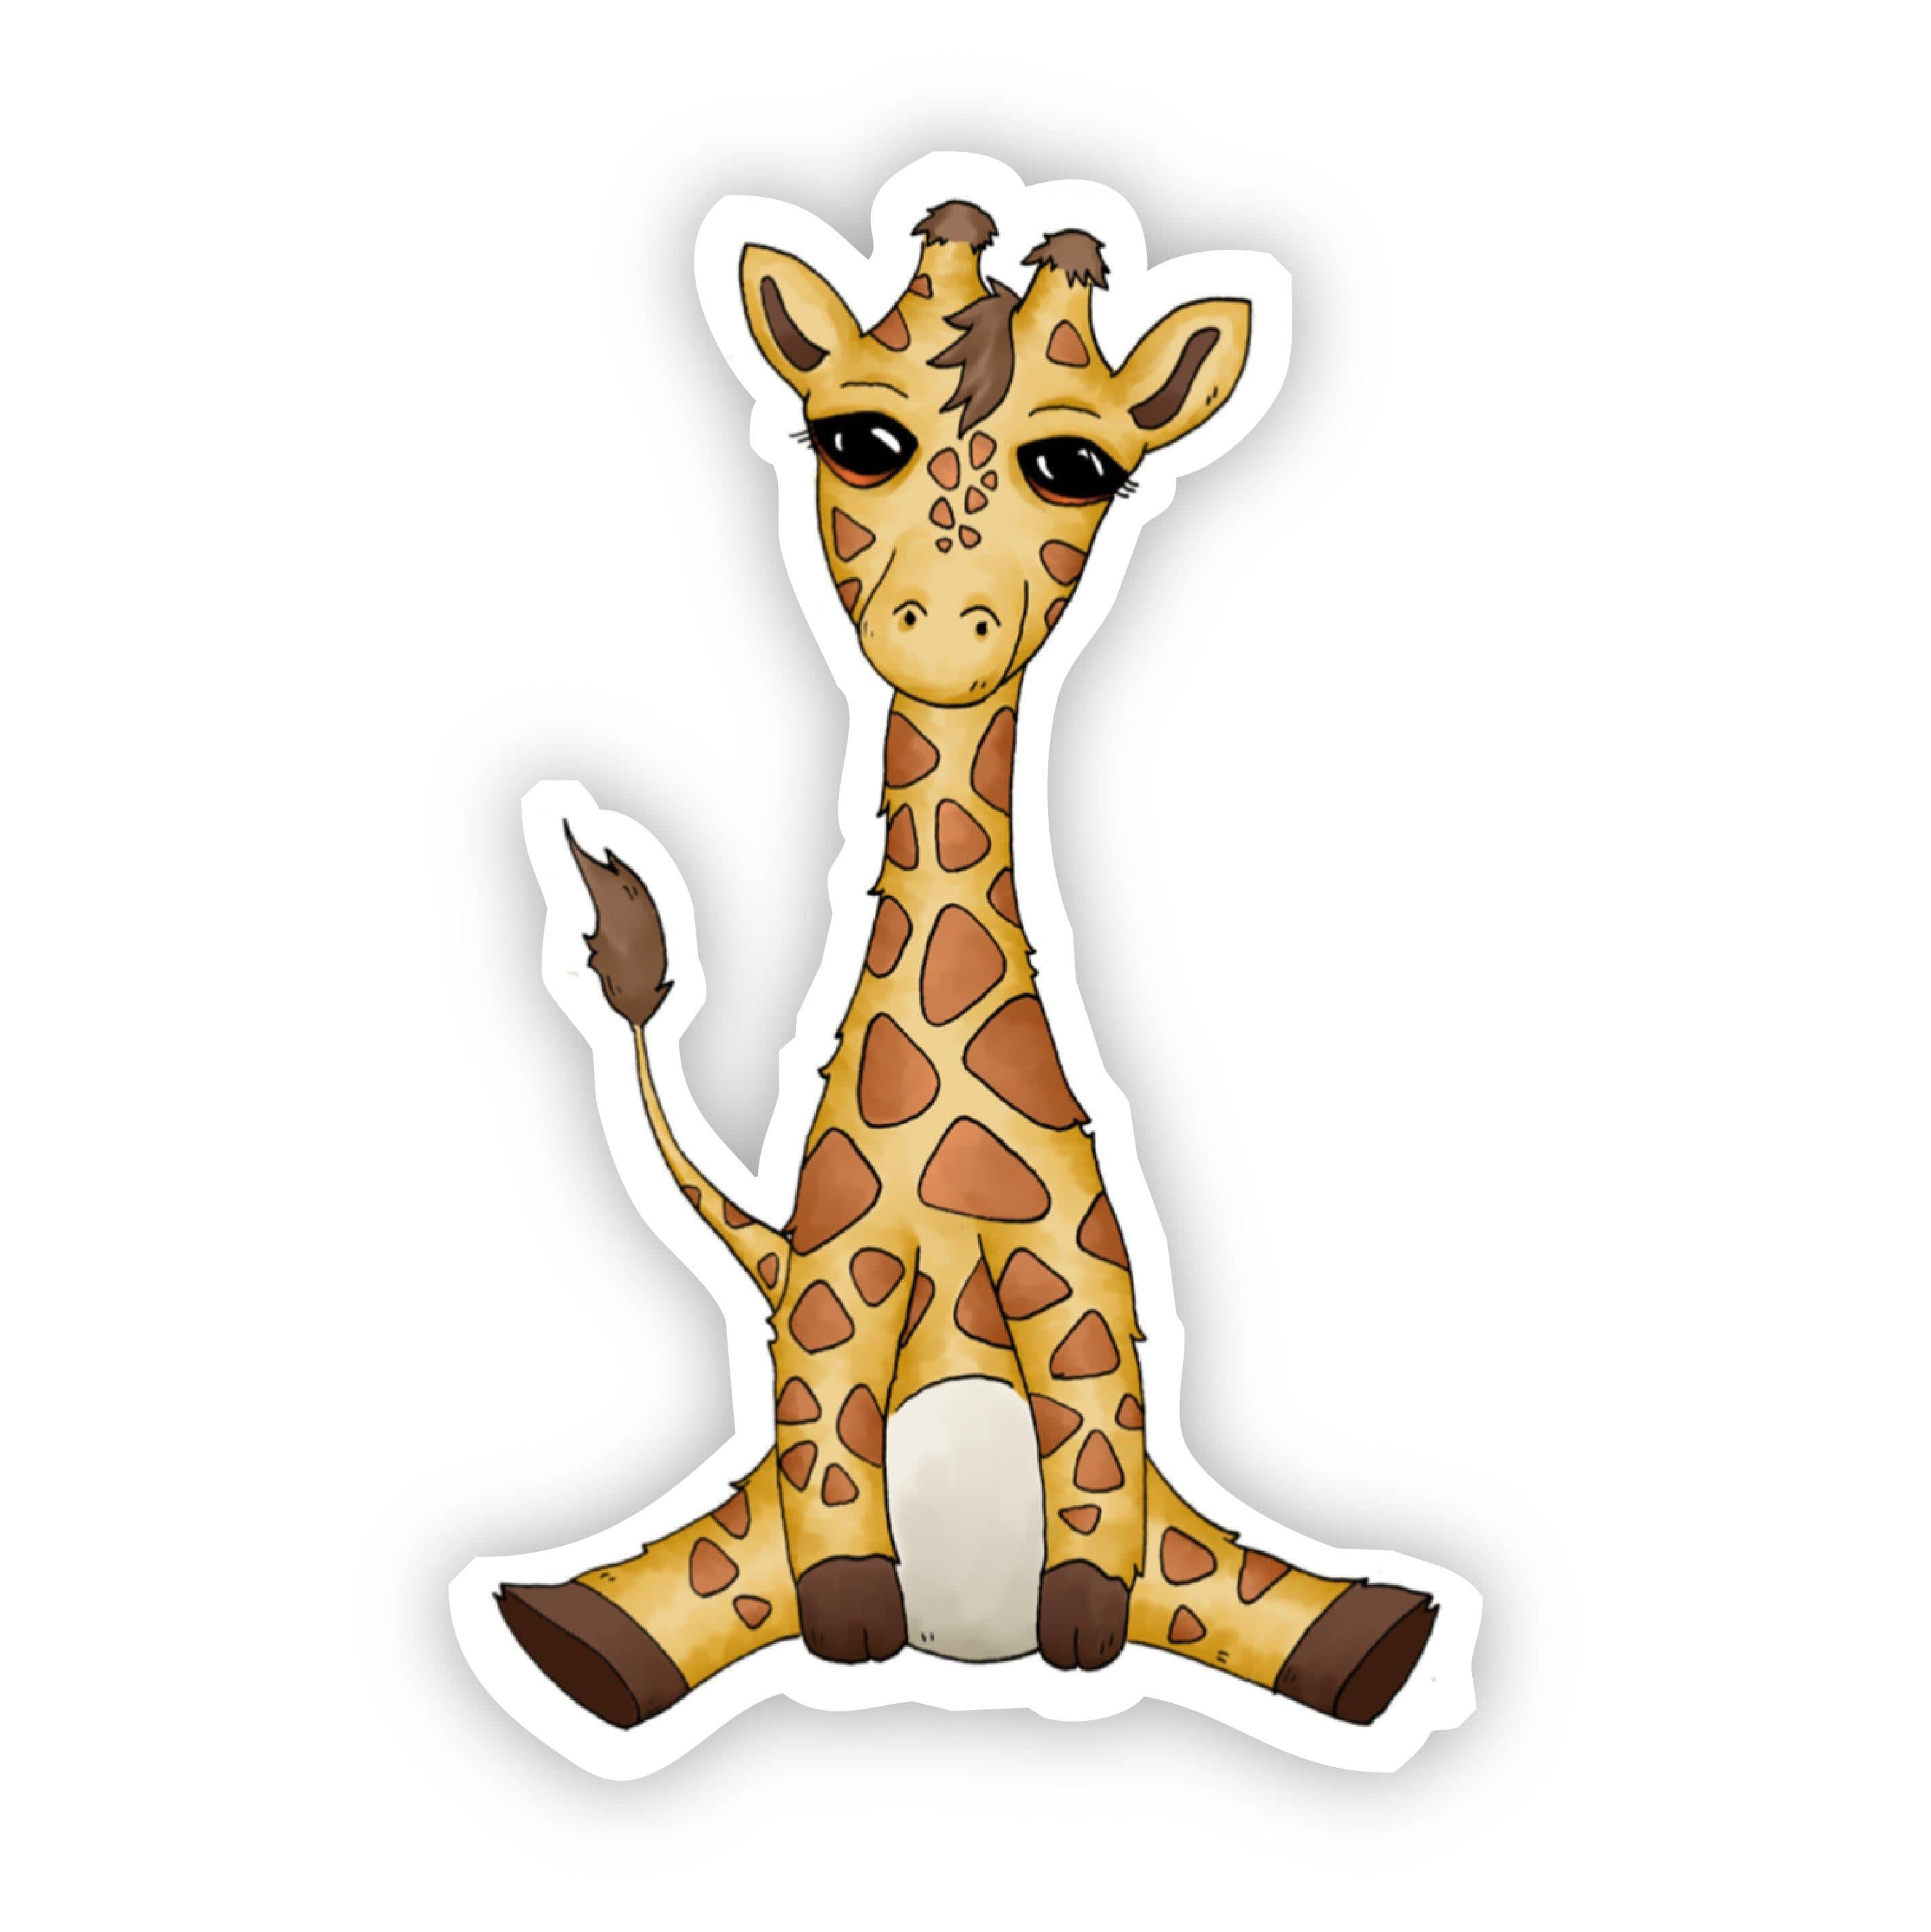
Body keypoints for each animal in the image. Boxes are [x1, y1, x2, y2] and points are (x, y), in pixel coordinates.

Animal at [494, 197, 1443, 1733]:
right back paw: (580, 1639)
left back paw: (1366, 1641)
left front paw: (1082, 1623)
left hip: (1190, 1555)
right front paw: (852, 1618)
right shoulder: (833, 1272)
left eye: (1079, 466)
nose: (941, 626)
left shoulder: (1081, 1274)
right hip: (741, 1534)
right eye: (854, 438)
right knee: (707, 1580)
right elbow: (823, 1442)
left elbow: (1099, 1440)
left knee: (1224, 1585)